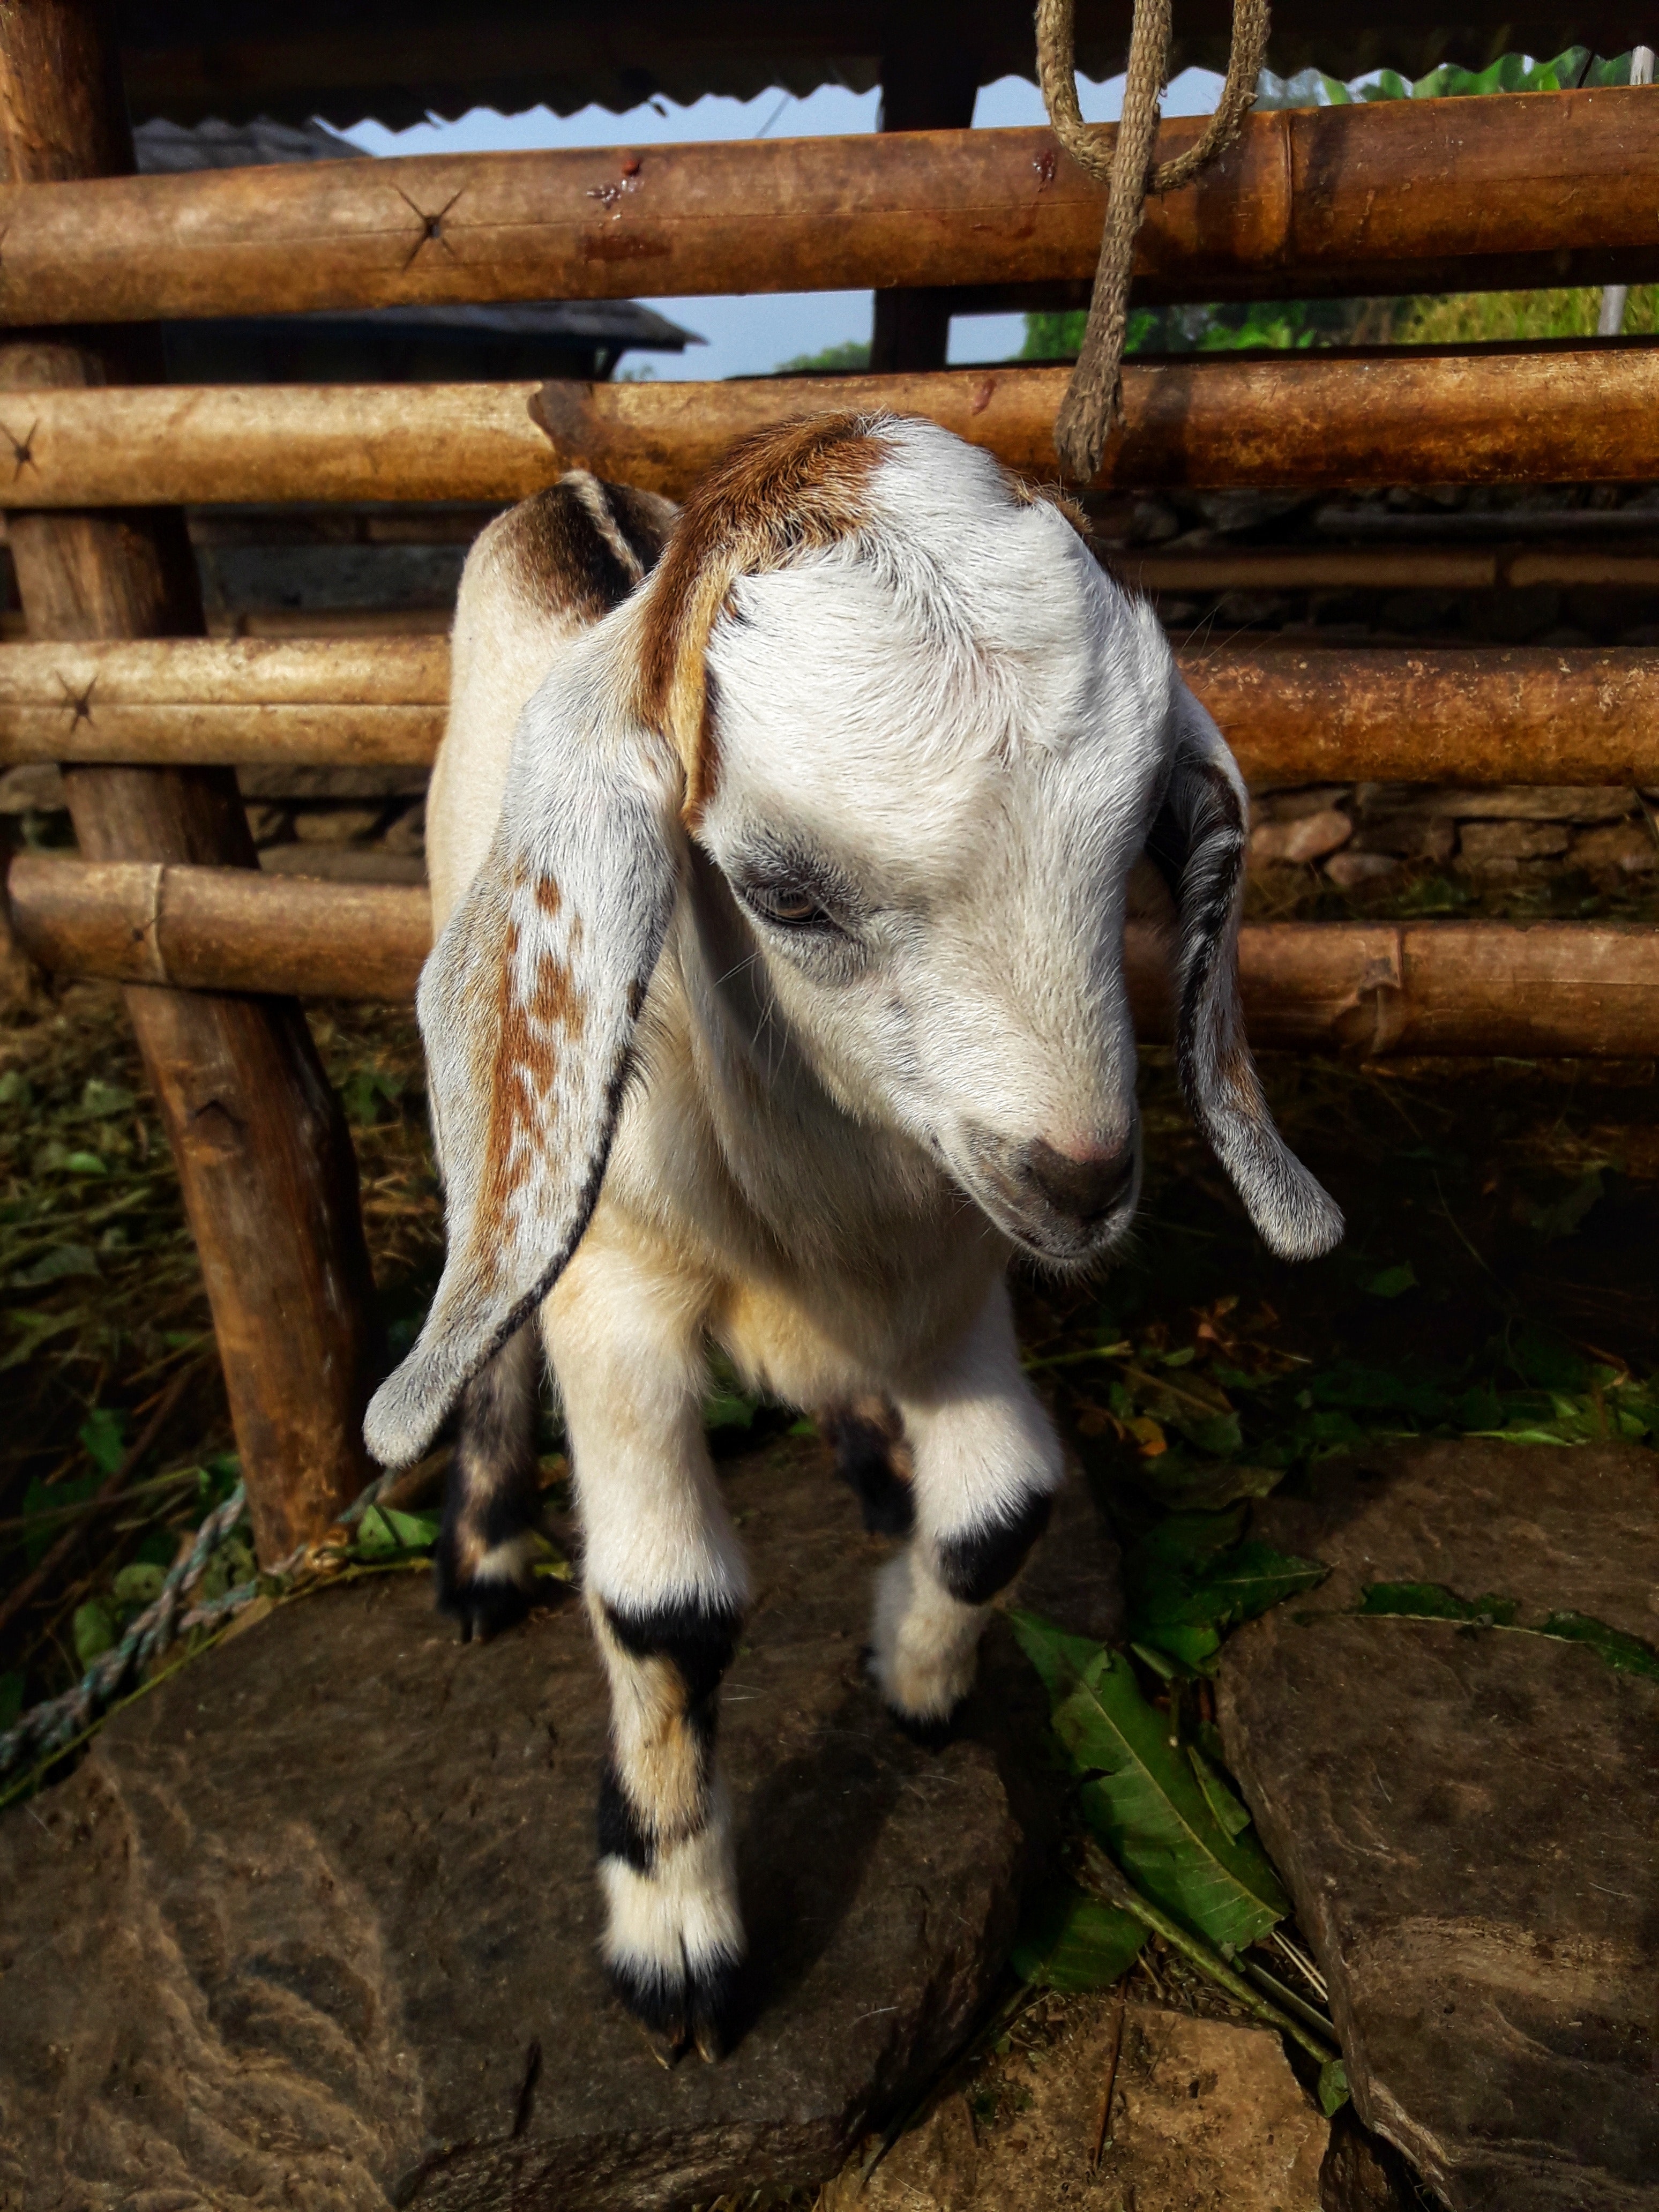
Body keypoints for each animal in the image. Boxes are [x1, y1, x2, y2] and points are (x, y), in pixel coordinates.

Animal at [365, 413, 1342, 2064]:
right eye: (782, 891)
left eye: (1138, 849)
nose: (1081, 1181)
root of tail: (570, 491)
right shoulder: (619, 1300)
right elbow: (667, 1608)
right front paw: (676, 1941)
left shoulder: (959, 1281)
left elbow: (1009, 1501)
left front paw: (914, 1669)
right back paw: (488, 1551)